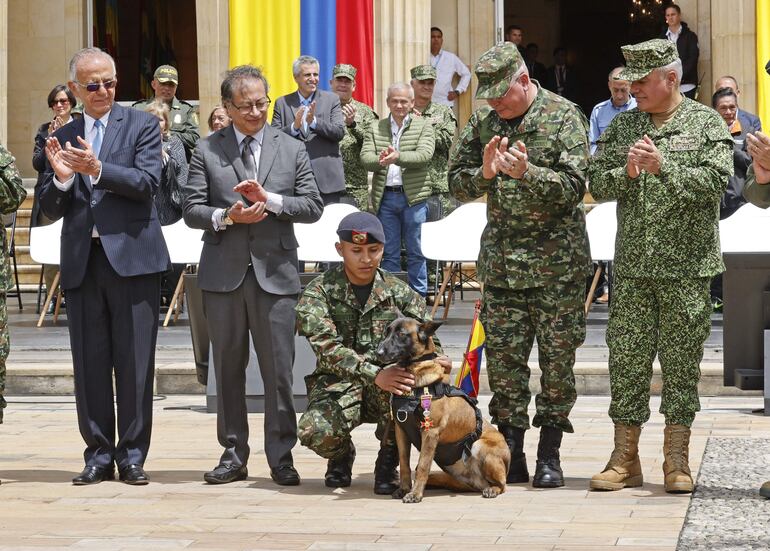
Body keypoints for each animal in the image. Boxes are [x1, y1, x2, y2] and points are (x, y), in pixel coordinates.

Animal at [374, 316, 508, 502]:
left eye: (401, 334)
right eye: (386, 332)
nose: (377, 353)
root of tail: (478, 483)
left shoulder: (430, 432)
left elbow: (423, 466)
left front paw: (415, 494)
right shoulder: (401, 431)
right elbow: (405, 464)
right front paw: (405, 489)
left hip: (480, 445)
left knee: (503, 485)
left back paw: (493, 489)